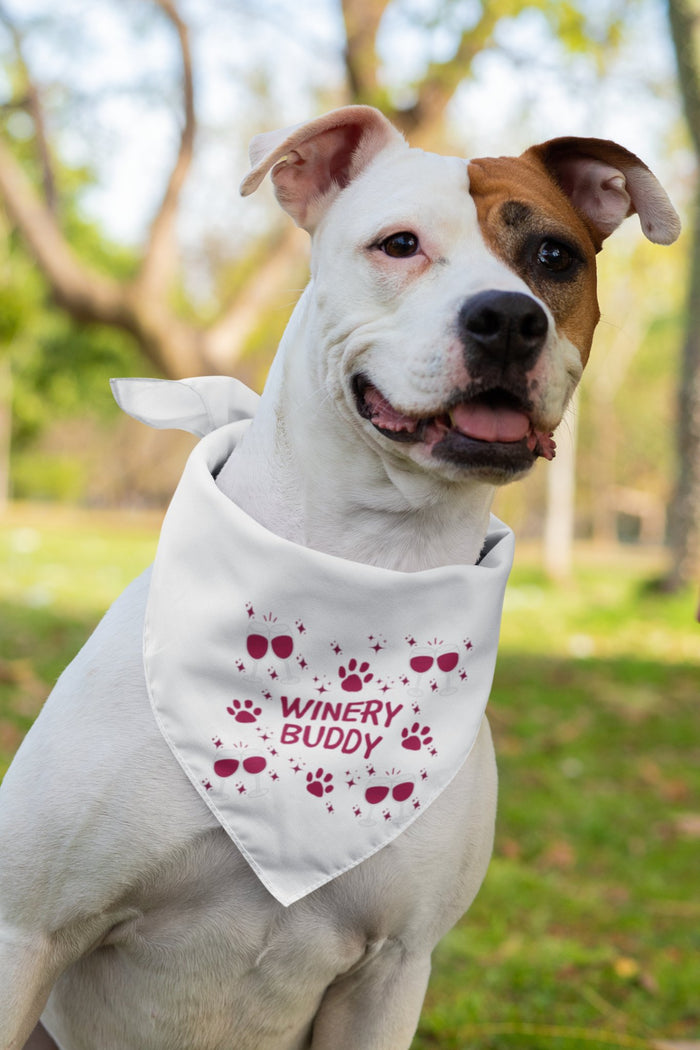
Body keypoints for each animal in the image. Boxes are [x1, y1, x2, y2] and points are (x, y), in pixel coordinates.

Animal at [0, 100, 680, 1050]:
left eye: (554, 257)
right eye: (398, 244)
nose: (509, 319)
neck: (364, 565)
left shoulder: (392, 969)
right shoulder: (29, 931)